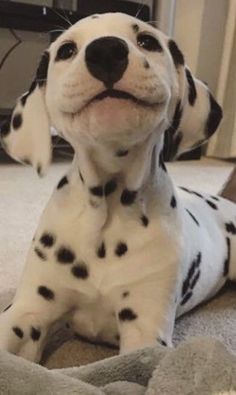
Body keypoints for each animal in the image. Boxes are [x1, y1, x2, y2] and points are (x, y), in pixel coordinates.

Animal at [0, 11, 234, 366]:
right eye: (66, 50)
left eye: (147, 41)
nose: (107, 51)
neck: (108, 211)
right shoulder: (27, 312)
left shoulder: (144, 333)